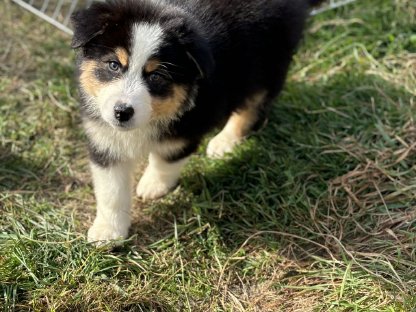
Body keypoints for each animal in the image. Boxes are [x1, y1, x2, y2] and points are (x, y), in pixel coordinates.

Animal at [71, 0, 324, 243]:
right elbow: (111, 190)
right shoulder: (104, 137)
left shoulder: (187, 127)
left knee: (252, 106)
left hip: (266, 64)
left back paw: (224, 141)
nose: (122, 112)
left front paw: (153, 185)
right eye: (113, 65)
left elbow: (167, 157)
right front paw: (108, 232)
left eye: (156, 76)